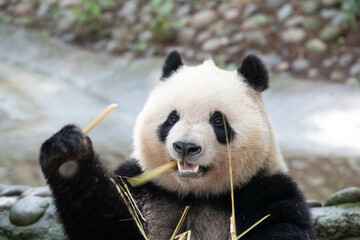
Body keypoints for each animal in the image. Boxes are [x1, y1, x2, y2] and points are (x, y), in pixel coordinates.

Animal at [38, 51, 316, 240]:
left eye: (218, 120)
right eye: (172, 118)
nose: (185, 147)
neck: (193, 195)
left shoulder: (268, 194)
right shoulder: (141, 188)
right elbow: (106, 225)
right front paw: (66, 155)